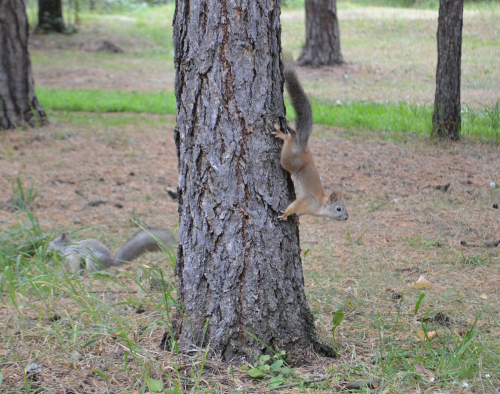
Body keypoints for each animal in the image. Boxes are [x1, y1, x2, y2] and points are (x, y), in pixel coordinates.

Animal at [274, 56, 348, 222]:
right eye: (338, 208)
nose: (347, 217)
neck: (320, 207)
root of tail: (302, 145)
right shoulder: (307, 201)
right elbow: (295, 205)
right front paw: (286, 214)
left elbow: (299, 213)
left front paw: (297, 218)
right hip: (290, 161)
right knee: (288, 144)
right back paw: (286, 135)